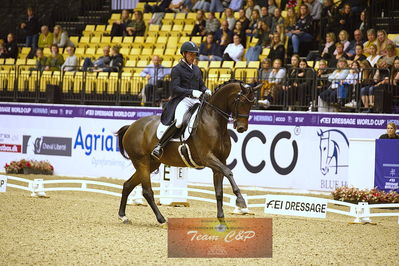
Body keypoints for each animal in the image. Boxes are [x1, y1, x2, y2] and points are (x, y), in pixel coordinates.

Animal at [116, 81, 260, 224]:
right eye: (241, 101)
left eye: (252, 103)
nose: (242, 128)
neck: (214, 122)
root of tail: (131, 126)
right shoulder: (208, 158)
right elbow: (229, 172)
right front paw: (241, 201)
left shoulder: (219, 162)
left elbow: (219, 192)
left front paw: (222, 221)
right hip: (141, 162)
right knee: (147, 191)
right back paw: (162, 219)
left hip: (151, 164)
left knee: (128, 185)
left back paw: (123, 216)